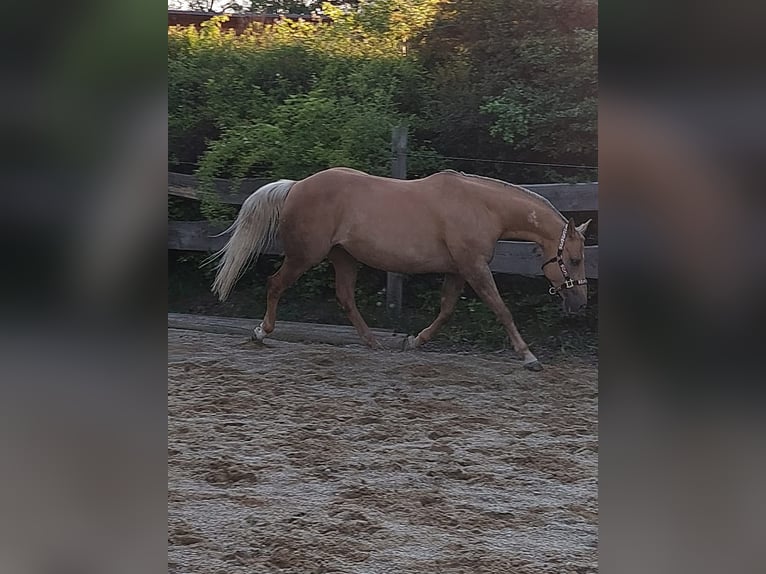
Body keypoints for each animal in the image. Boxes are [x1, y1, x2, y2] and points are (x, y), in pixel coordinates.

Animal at [210, 167, 591, 370]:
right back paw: (261, 333)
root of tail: (296, 186)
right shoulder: (474, 267)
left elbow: (447, 310)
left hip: (344, 257)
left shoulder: (458, 270)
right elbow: (501, 309)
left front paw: (414, 341)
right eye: (574, 259)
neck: (482, 207)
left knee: (345, 297)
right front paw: (529, 357)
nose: (580, 304)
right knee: (275, 284)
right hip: (305, 256)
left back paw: (374, 343)